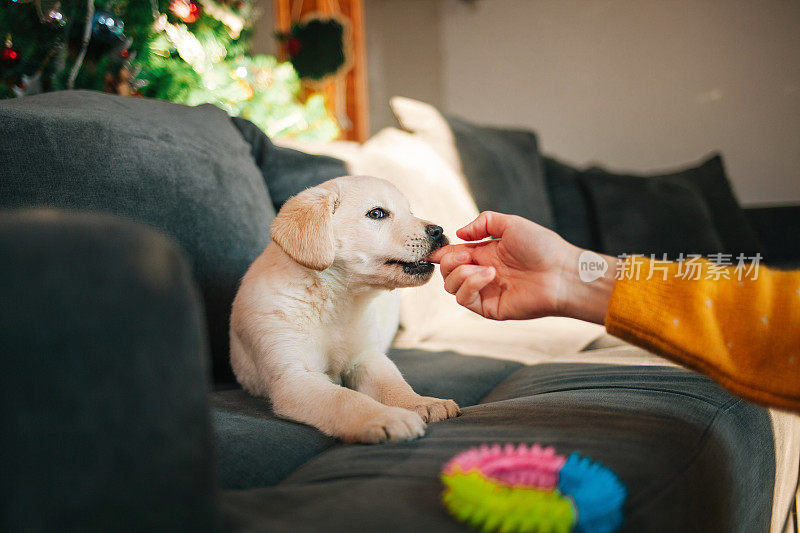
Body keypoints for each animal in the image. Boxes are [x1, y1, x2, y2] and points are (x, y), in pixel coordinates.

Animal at [230, 177, 462, 442]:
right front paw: (386, 417)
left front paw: (420, 402)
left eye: (410, 212)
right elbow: (344, 398)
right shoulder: (295, 377)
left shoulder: (367, 358)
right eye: (377, 213)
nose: (438, 231)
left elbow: (394, 384)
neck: (335, 298)